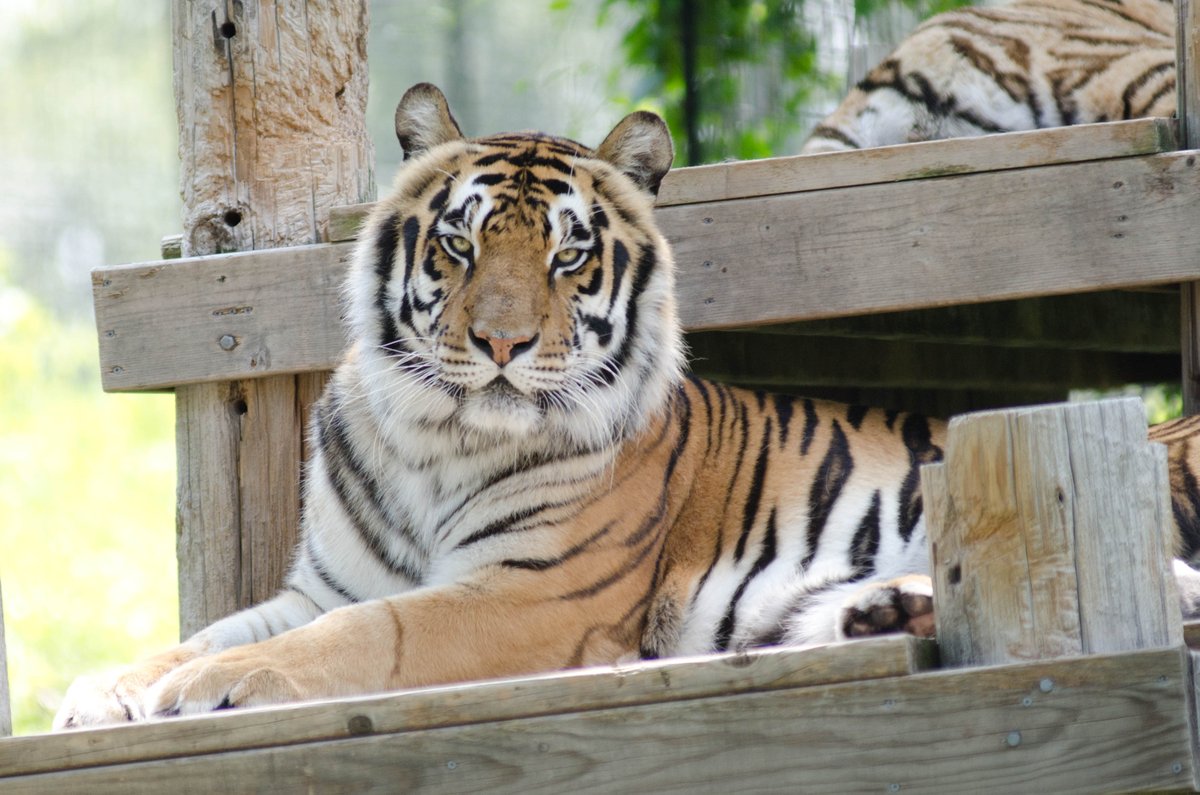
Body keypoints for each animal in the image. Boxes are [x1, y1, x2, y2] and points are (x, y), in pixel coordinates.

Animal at [58, 84, 1200, 730]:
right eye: (460, 243)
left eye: (568, 255)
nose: (502, 343)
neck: (436, 441)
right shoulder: (321, 584)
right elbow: (201, 630)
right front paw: (104, 687)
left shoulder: (528, 593)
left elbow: (359, 637)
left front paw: (216, 685)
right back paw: (884, 609)